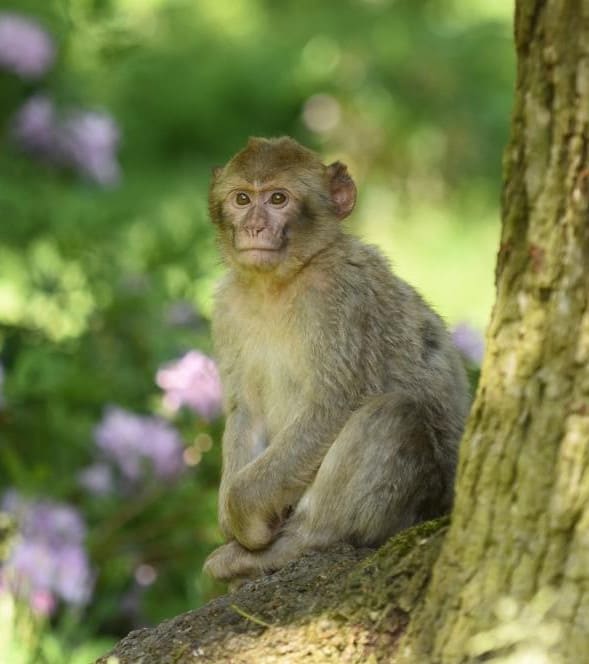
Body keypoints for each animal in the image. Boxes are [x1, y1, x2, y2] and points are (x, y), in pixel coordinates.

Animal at [203, 136, 470, 585]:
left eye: (278, 199)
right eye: (242, 199)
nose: (254, 227)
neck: (276, 285)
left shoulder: (341, 298)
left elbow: (334, 405)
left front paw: (244, 519)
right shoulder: (228, 309)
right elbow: (246, 411)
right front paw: (231, 518)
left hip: (416, 510)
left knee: (395, 414)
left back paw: (298, 543)